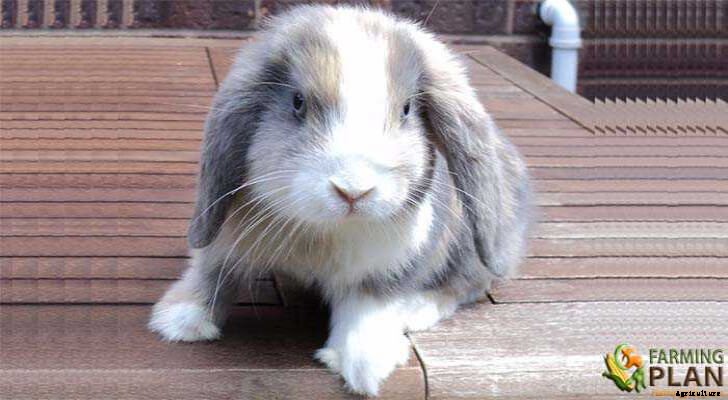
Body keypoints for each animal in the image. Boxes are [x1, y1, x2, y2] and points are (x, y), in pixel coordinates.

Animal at [149, 5, 532, 397]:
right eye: (298, 102)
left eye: (407, 109)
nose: (353, 190)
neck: (323, 233)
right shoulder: (225, 234)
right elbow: (211, 271)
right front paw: (181, 321)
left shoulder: (389, 263)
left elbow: (370, 303)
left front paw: (363, 365)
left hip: (469, 248)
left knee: (468, 284)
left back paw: (417, 309)